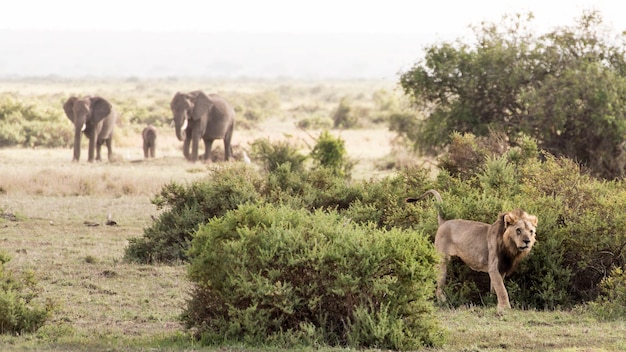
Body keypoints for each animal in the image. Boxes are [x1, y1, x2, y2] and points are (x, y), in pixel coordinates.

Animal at [404, 190, 536, 310]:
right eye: (518, 230)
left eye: (531, 231)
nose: (527, 241)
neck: (510, 248)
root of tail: (443, 222)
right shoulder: (493, 267)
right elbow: (502, 289)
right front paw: (505, 308)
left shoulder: (501, 269)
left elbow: (495, 288)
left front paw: (492, 302)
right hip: (441, 261)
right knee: (439, 286)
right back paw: (444, 302)